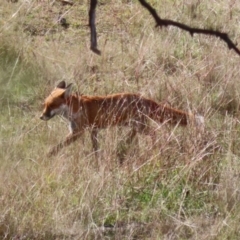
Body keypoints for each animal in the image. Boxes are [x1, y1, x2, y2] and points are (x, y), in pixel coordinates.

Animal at [39, 81, 204, 158]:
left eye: (51, 106)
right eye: (44, 105)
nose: (41, 117)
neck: (75, 107)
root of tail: (143, 97)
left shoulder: (77, 133)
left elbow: (57, 147)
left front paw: (47, 157)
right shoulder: (93, 131)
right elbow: (96, 149)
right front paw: (97, 161)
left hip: (140, 126)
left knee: (154, 133)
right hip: (133, 125)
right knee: (134, 136)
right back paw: (123, 147)